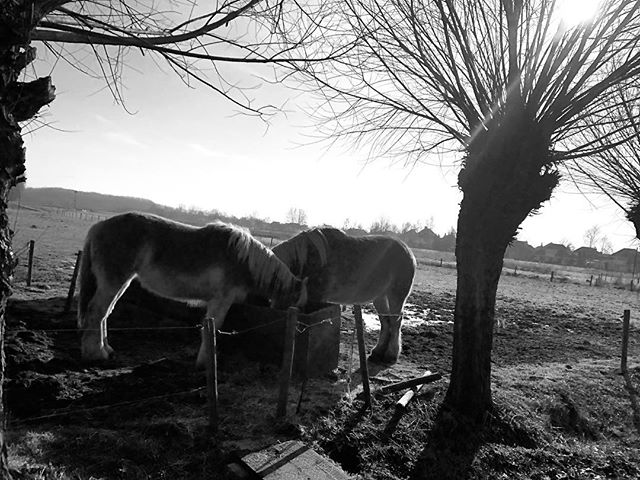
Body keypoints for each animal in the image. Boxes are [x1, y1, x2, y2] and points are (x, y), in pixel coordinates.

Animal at [77, 212, 308, 366]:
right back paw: (96, 353)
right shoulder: (221, 301)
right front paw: (206, 362)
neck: (245, 261)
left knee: (105, 313)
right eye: (297, 302)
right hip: (113, 282)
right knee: (97, 312)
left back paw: (106, 348)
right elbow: (212, 329)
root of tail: (98, 227)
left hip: (120, 283)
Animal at [272, 227, 418, 362]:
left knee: (395, 321)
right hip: (380, 298)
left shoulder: (315, 299)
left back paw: (391, 354)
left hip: (396, 296)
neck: (308, 258)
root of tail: (408, 250)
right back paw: (377, 352)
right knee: (385, 321)